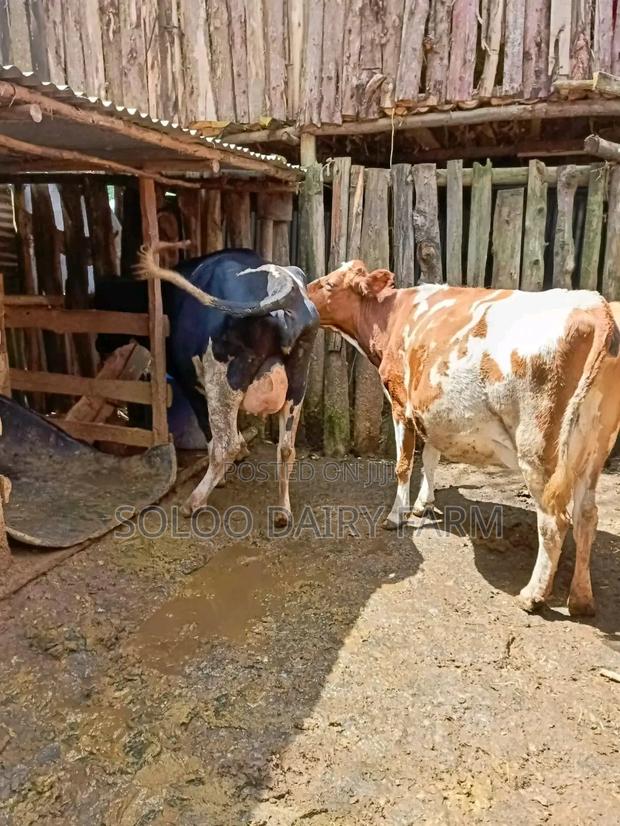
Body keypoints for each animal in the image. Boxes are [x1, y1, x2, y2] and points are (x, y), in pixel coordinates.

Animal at [95, 248, 319, 525]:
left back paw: (193, 503)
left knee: (225, 445)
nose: (97, 344)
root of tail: (283, 284)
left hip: (221, 380)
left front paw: (220, 480)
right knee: (286, 447)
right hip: (298, 379)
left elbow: (211, 436)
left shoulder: (190, 384)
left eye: (101, 304)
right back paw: (282, 511)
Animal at [308, 260, 620, 616]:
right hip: (592, 450)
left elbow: (403, 466)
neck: (391, 316)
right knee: (587, 515)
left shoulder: (401, 403)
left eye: (330, 284)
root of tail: (594, 305)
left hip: (540, 450)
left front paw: (397, 515)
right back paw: (581, 599)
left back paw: (533, 596)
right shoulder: (430, 410)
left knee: (555, 521)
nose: (304, 292)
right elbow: (430, 458)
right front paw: (423, 504)